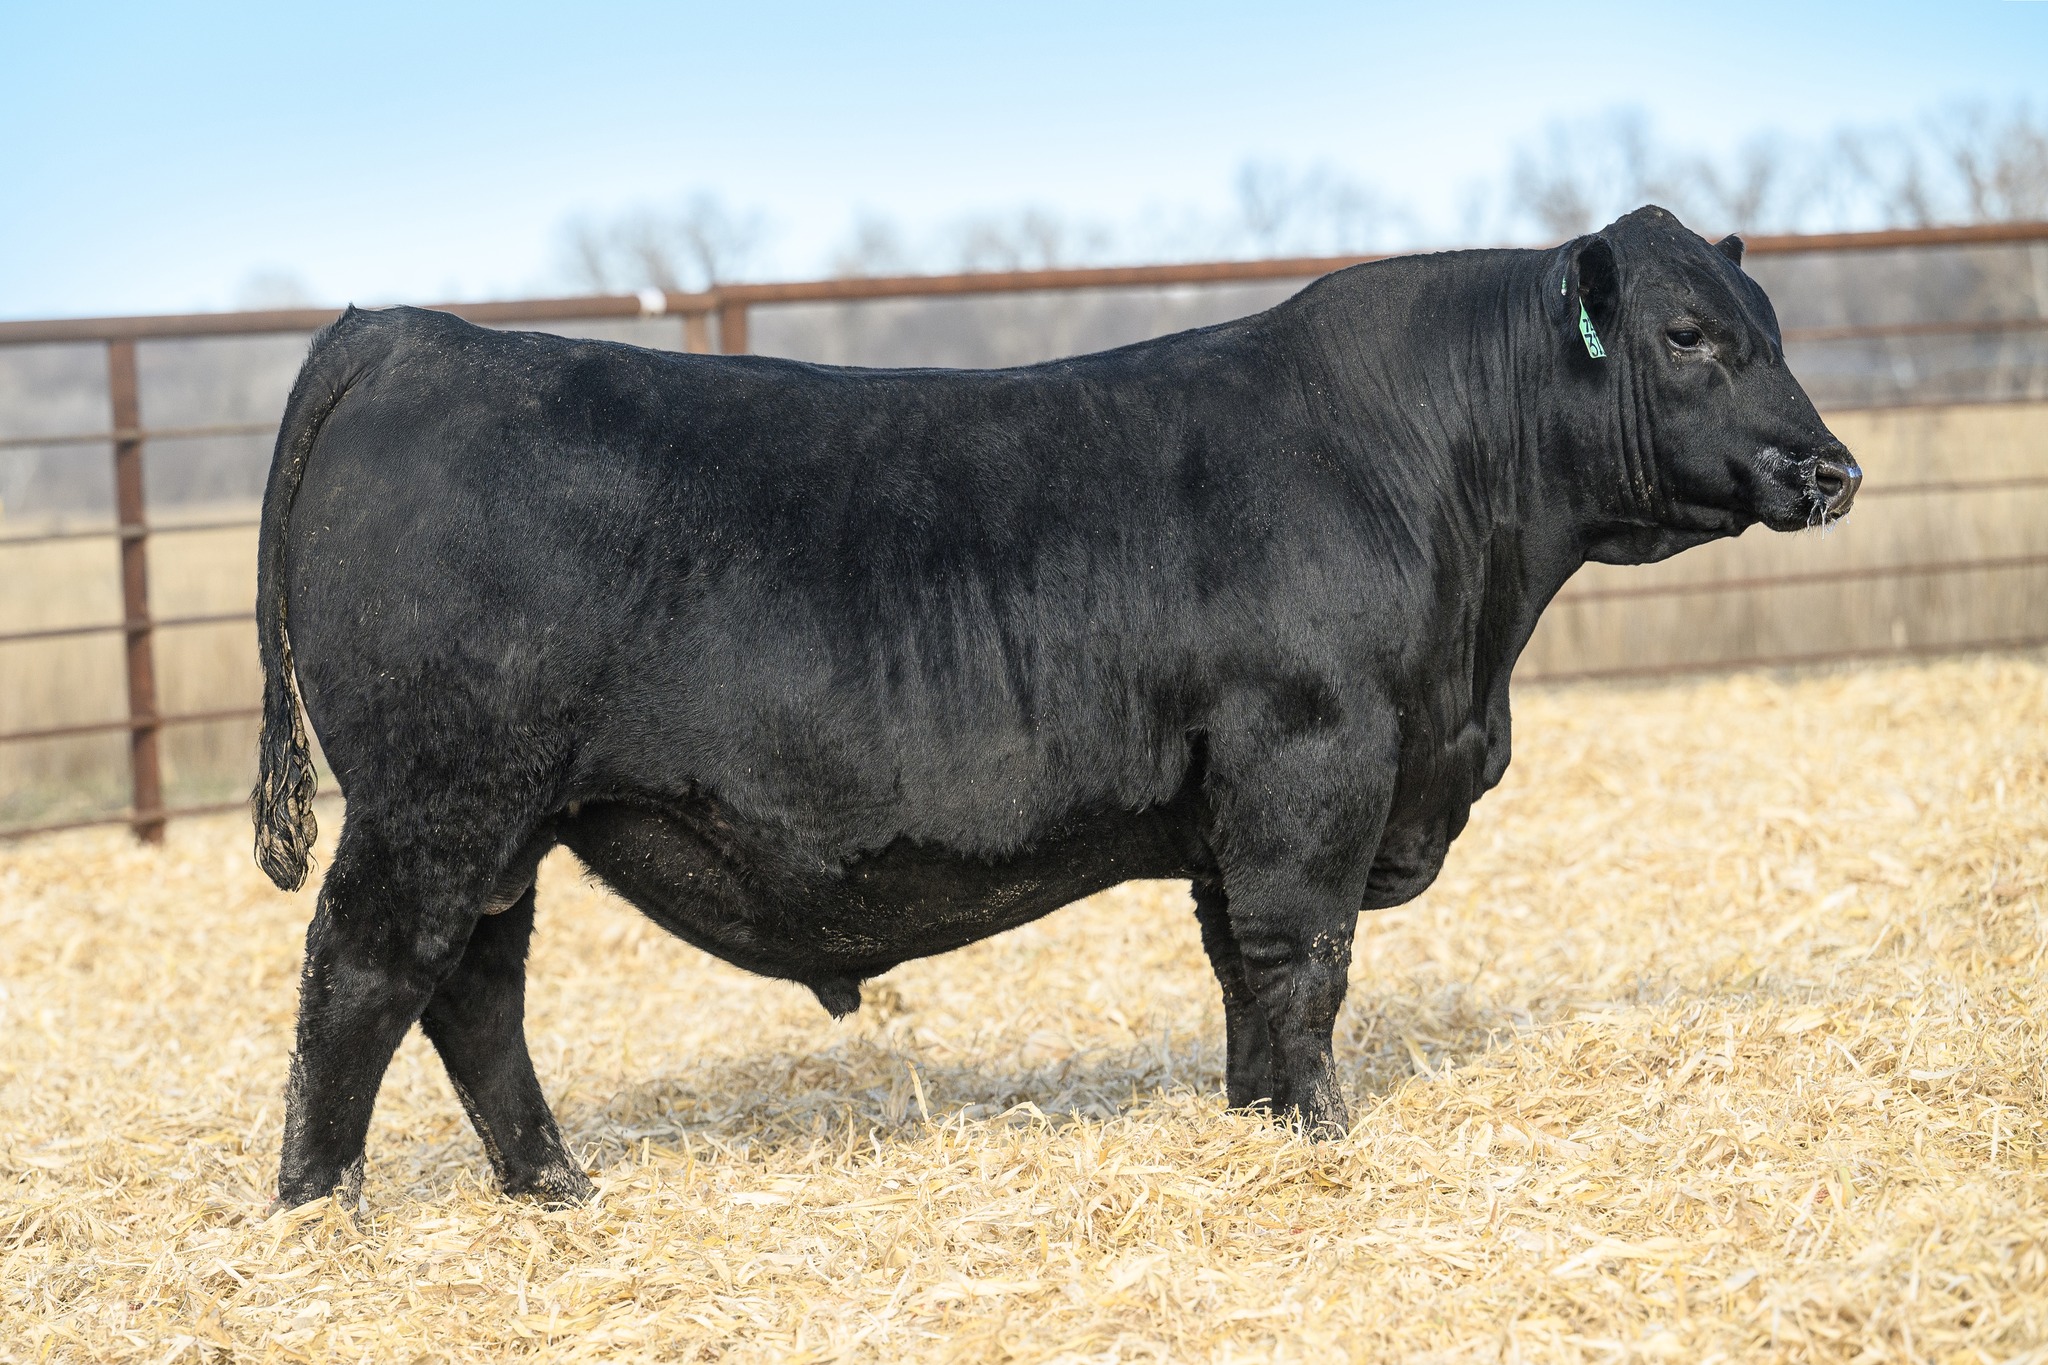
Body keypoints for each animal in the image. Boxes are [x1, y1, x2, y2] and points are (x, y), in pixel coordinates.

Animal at [252, 206, 1858, 1208]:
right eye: (1685, 335)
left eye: (1773, 324)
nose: (1828, 467)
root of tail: (409, 331)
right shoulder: (1311, 762)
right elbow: (1305, 963)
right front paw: (1319, 1136)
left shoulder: (1233, 806)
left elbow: (1240, 973)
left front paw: (1255, 1125)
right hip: (438, 799)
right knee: (365, 977)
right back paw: (319, 1215)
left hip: (504, 823)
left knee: (473, 993)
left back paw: (555, 1189)